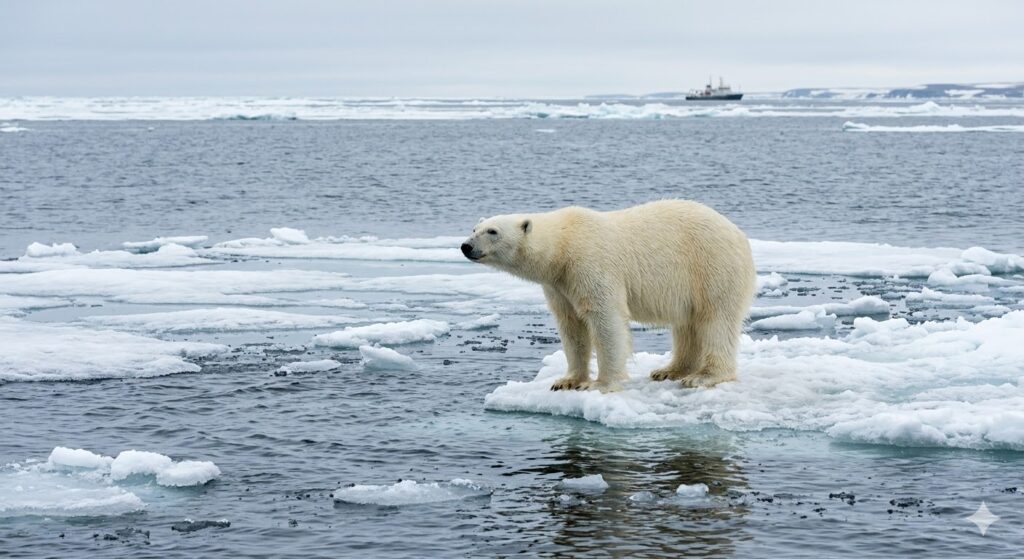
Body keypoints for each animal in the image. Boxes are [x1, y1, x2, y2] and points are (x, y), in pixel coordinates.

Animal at [461, 200, 756, 393]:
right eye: (475, 229)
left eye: (493, 232)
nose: (466, 246)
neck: (563, 245)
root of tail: (739, 234)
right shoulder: (559, 284)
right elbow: (571, 326)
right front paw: (566, 381)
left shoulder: (590, 264)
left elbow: (605, 320)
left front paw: (599, 384)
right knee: (687, 325)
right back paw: (669, 370)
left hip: (711, 267)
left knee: (716, 320)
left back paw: (703, 376)